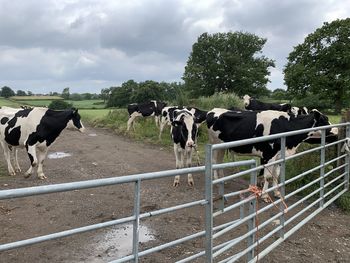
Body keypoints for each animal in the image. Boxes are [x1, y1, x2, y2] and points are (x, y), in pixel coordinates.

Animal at [206, 107, 338, 202]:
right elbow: (268, 176)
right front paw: (265, 195)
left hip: (222, 146)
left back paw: (222, 180)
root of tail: (213, 110)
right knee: (214, 161)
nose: (337, 130)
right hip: (214, 144)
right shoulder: (269, 155)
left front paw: (277, 192)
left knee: (219, 162)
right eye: (324, 120)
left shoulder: (279, 155)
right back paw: (216, 180)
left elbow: (276, 174)